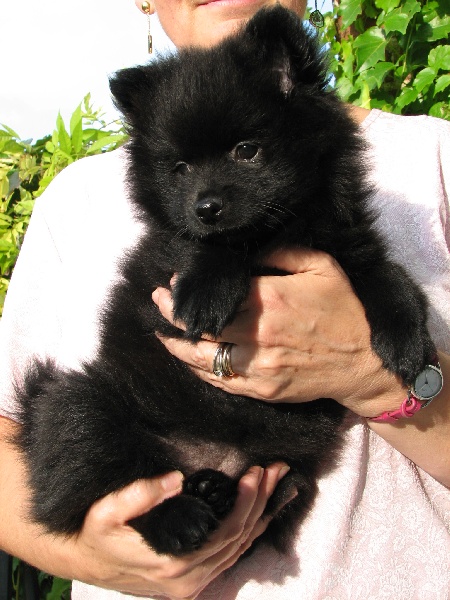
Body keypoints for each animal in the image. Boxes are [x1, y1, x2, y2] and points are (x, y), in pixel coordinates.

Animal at [14, 5, 436, 556]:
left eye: (247, 150)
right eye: (180, 167)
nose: (206, 206)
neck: (282, 230)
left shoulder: (348, 245)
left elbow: (388, 275)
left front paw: (407, 342)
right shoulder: (169, 252)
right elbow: (209, 247)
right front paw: (206, 289)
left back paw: (228, 491)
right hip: (83, 405)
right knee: (111, 482)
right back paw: (181, 517)